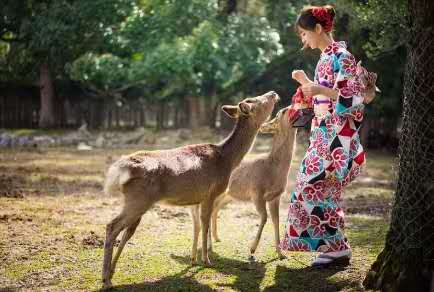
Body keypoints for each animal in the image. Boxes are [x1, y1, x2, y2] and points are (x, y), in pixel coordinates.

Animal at [101, 92, 278, 290]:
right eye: (258, 101)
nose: (273, 93)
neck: (227, 160)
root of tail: (119, 169)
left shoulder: (198, 198)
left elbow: (199, 226)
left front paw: (195, 260)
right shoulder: (210, 193)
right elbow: (205, 224)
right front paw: (207, 261)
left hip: (137, 201)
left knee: (126, 231)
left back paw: (111, 272)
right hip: (138, 200)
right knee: (112, 226)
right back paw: (106, 280)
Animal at [204, 106, 298, 262]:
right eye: (283, 111)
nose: (293, 106)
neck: (272, 169)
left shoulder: (275, 196)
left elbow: (276, 220)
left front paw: (281, 254)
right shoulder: (256, 192)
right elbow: (264, 217)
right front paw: (252, 250)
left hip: (227, 195)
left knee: (215, 208)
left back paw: (217, 238)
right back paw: (210, 245)